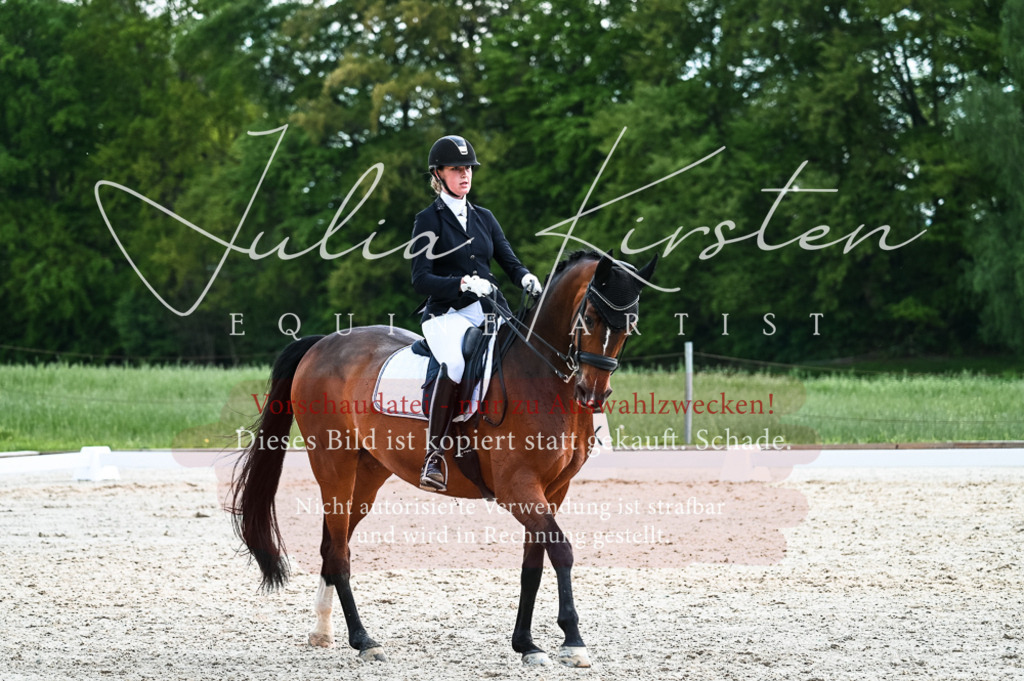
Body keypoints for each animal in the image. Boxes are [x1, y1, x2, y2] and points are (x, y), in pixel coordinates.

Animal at [229, 249, 657, 667]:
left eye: (631, 324)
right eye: (590, 318)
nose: (592, 393)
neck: (541, 376)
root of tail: (321, 344)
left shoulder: (553, 490)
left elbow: (533, 563)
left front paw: (526, 644)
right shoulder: (518, 487)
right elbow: (561, 550)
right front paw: (573, 641)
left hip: (366, 475)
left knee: (333, 544)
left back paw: (322, 631)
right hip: (334, 464)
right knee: (337, 552)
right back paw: (364, 641)